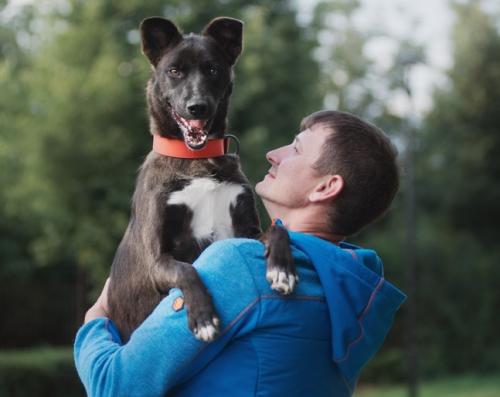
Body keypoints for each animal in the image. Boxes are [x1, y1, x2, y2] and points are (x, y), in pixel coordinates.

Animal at [106, 17, 296, 342]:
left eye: (213, 69)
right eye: (174, 70)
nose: (198, 106)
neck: (197, 159)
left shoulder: (243, 232)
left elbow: (277, 229)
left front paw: (282, 269)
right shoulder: (158, 260)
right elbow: (186, 270)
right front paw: (204, 318)